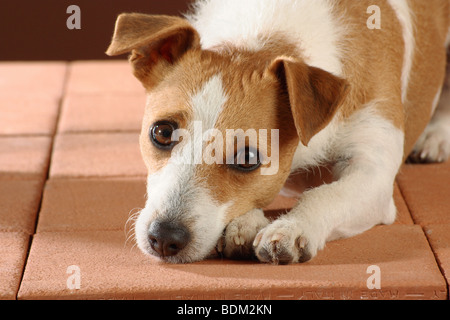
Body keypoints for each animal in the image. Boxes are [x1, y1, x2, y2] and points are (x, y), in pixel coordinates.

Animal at [107, 0, 450, 264]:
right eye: (162, 133)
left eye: (248, 157)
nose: (164, 238)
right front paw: (246, 224)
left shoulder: (373, 174)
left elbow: (326, 193)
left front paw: (292, 228)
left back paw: (436, 136)